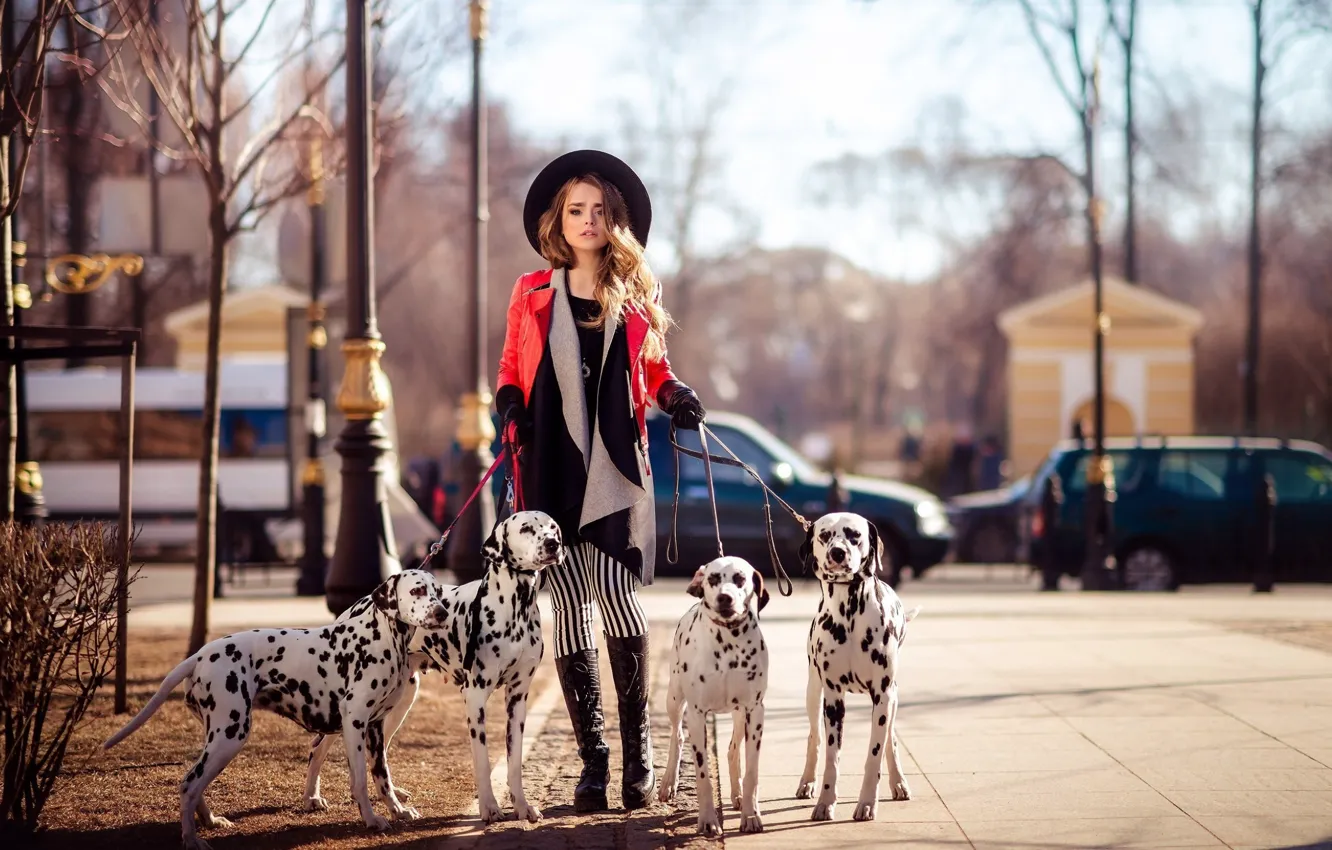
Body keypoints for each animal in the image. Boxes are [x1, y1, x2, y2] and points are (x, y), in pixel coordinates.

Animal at [103, 572, 447, 850]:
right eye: (417, 590)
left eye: (438, 590)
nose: (442, 612)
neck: (381, 638)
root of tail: (199, 655)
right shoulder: (355, 723)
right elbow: (361, 781)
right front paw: (372, 820)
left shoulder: (375, 729)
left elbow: (382, 778)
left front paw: (397, 810)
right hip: (231, 736)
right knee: (189, 784)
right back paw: (191, 839)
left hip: (218, 738)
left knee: (194, 781)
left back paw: (210, 822)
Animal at [305, 511, 559, 826]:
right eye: (525, 528)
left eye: (553, 527)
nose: (553, 544)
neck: (515, 608)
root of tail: (362, 603)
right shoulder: (475, 697)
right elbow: (482, 761)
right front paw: (489, 807)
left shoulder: (517, 698)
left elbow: (514, 762)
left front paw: (522, 807)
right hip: (349, 710)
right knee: (318, 747)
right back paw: (312, 797)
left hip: (396, 703)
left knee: (379, 754)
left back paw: (392, 795)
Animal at [658, 559, 772, 842]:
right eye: (713, 578)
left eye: (740, 578)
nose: (724, 597)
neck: (728, 643)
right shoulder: (698, 715)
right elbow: (703, 776)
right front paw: (708, 821)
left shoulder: (755, 711)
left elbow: (751, 772)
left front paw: (751, 816)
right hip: (674, 699)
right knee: (677, 736)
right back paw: (668, 783)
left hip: (740, 715)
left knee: (732, 750)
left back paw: (738, 795)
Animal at [793, 516, 921, 820]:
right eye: (824, 536)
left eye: (854, 535)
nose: (838, 553)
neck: (849, 613)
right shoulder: (833, 700)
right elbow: (831, 757)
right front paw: (825, 802)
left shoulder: (883, 696)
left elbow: (875, 753)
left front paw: (867, 803)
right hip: (813, 694)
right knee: (813, 737)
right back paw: (807, 781)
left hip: (892, 701)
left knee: (891, 741)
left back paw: (899, 782)